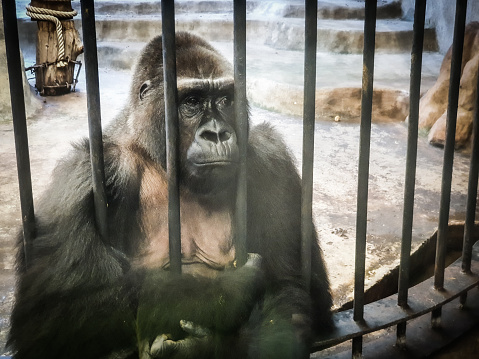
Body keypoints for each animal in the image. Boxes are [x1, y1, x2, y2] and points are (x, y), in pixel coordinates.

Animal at [7, 32, 332, 358]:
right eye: (191, 102)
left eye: (225, 100)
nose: (217, 134)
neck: (159, 156)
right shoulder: (85, 174)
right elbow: (52, 318)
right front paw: (219, 294)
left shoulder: (269, 156)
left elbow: (291, 290)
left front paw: (207, 344)